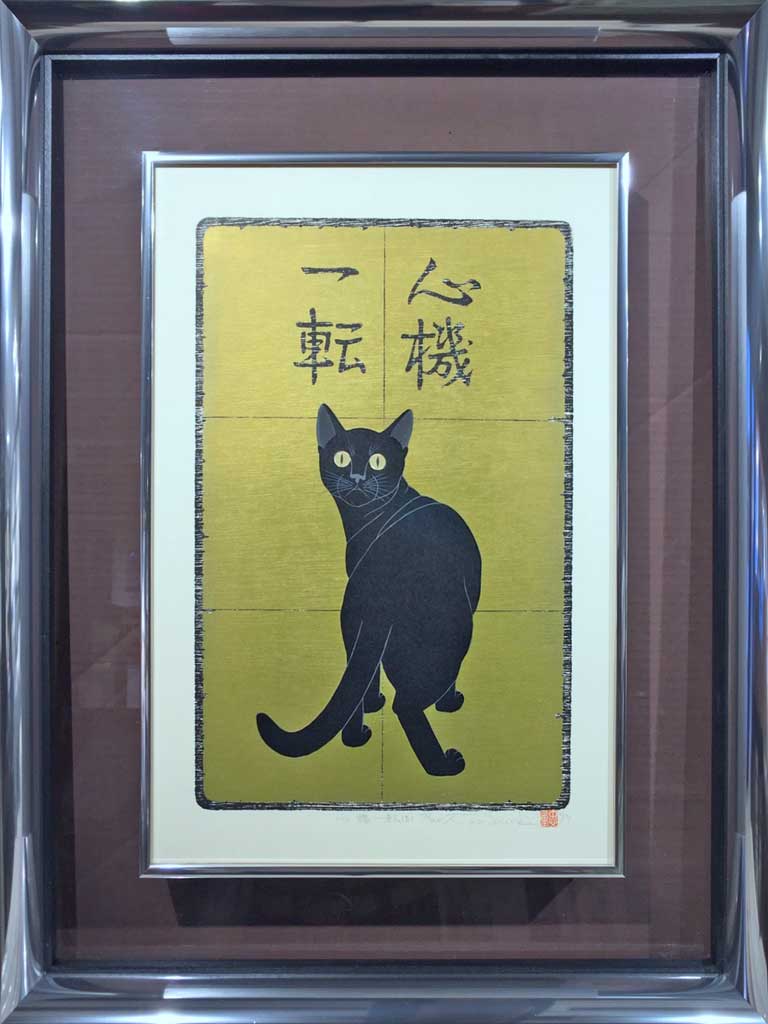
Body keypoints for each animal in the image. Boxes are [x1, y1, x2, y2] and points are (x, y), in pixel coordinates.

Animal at [256, 403, 481, 777]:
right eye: (342, 458)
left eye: (377, 461)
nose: (357, 478)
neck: (364, 522)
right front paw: (449, 703)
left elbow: (366, 676)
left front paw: (374, 703)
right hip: (447, 639)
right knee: (406, 704)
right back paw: (442, 765)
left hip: (354, 626)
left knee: (360, 680)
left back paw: (356, 736)